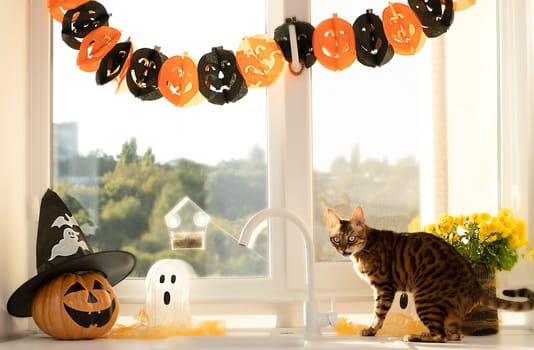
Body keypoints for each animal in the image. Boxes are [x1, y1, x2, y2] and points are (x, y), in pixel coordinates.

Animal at [326, 205, 534, 342]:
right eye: (336, 239)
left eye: (351, 238)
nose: (343, 249)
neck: (365, 248)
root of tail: (476, 287)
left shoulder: (384, 288)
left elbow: (378, 314)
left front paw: (370, 330)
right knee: (454, 335)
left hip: (425, 298)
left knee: (440, 336)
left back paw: (414, 336)